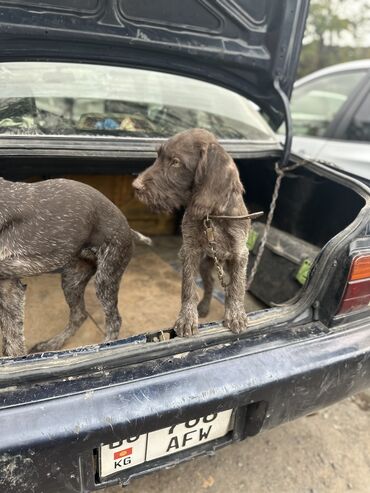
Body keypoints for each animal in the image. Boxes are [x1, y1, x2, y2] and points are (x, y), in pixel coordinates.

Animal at [0, 177, 151, 358]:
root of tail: (128, 227)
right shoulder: (8, 287)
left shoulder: (10, 287)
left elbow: (13, 346)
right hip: (72, 280)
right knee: (79, 315)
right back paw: (51, 344)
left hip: (106, 278)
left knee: (114, 321)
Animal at [132, 127, 250, 336]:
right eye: (158, 156)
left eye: (175, 162)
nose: (135, 186)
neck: (212, 216)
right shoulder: (190, 251)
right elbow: (189, 288)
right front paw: (187, 317)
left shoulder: (240, 254)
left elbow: (237, 287)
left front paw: (236, 313)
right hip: (206, 264)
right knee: (210, 285)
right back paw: (203, 307)